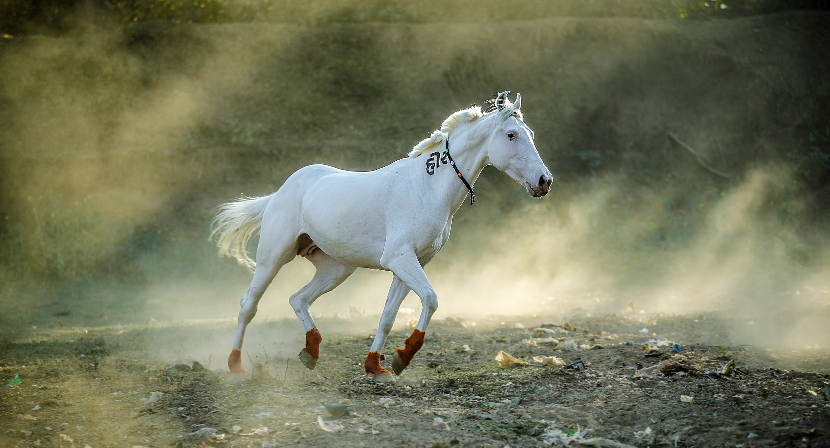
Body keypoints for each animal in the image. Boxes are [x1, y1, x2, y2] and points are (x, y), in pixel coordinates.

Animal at [211, 91, 553, 381]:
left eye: (531, 134)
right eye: (511, 135)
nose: (544, 181)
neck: (427, 188)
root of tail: (281, 191)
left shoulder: (411, 264)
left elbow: (388, 316)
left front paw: (377, 367)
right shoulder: (400, 258)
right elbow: (431, 299)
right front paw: (403, 357)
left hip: (336, 269)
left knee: (298, 299)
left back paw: (310, 352)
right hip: (273, 257)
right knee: (248, 305)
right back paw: (236, 365)